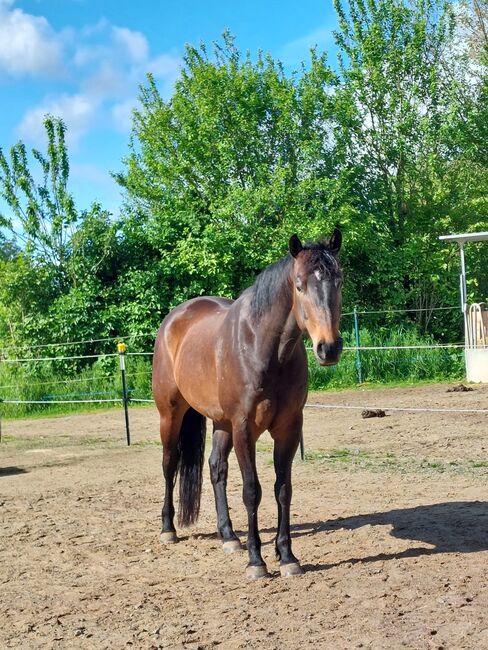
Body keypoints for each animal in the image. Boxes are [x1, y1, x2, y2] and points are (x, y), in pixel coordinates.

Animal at [152, 228, 344, 576]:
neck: (264, 348)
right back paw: (168, 530)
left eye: (339, 281)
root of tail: (175, 318)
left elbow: (283, 489)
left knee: (216, 468)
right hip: (170, 414)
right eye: (299, 285)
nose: (329, 348)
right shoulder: (244, 428)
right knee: (169, 464)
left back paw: (228, 536)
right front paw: (257, 561)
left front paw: (287, 557)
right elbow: (252, 491)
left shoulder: (289, 427)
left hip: (221, 422)